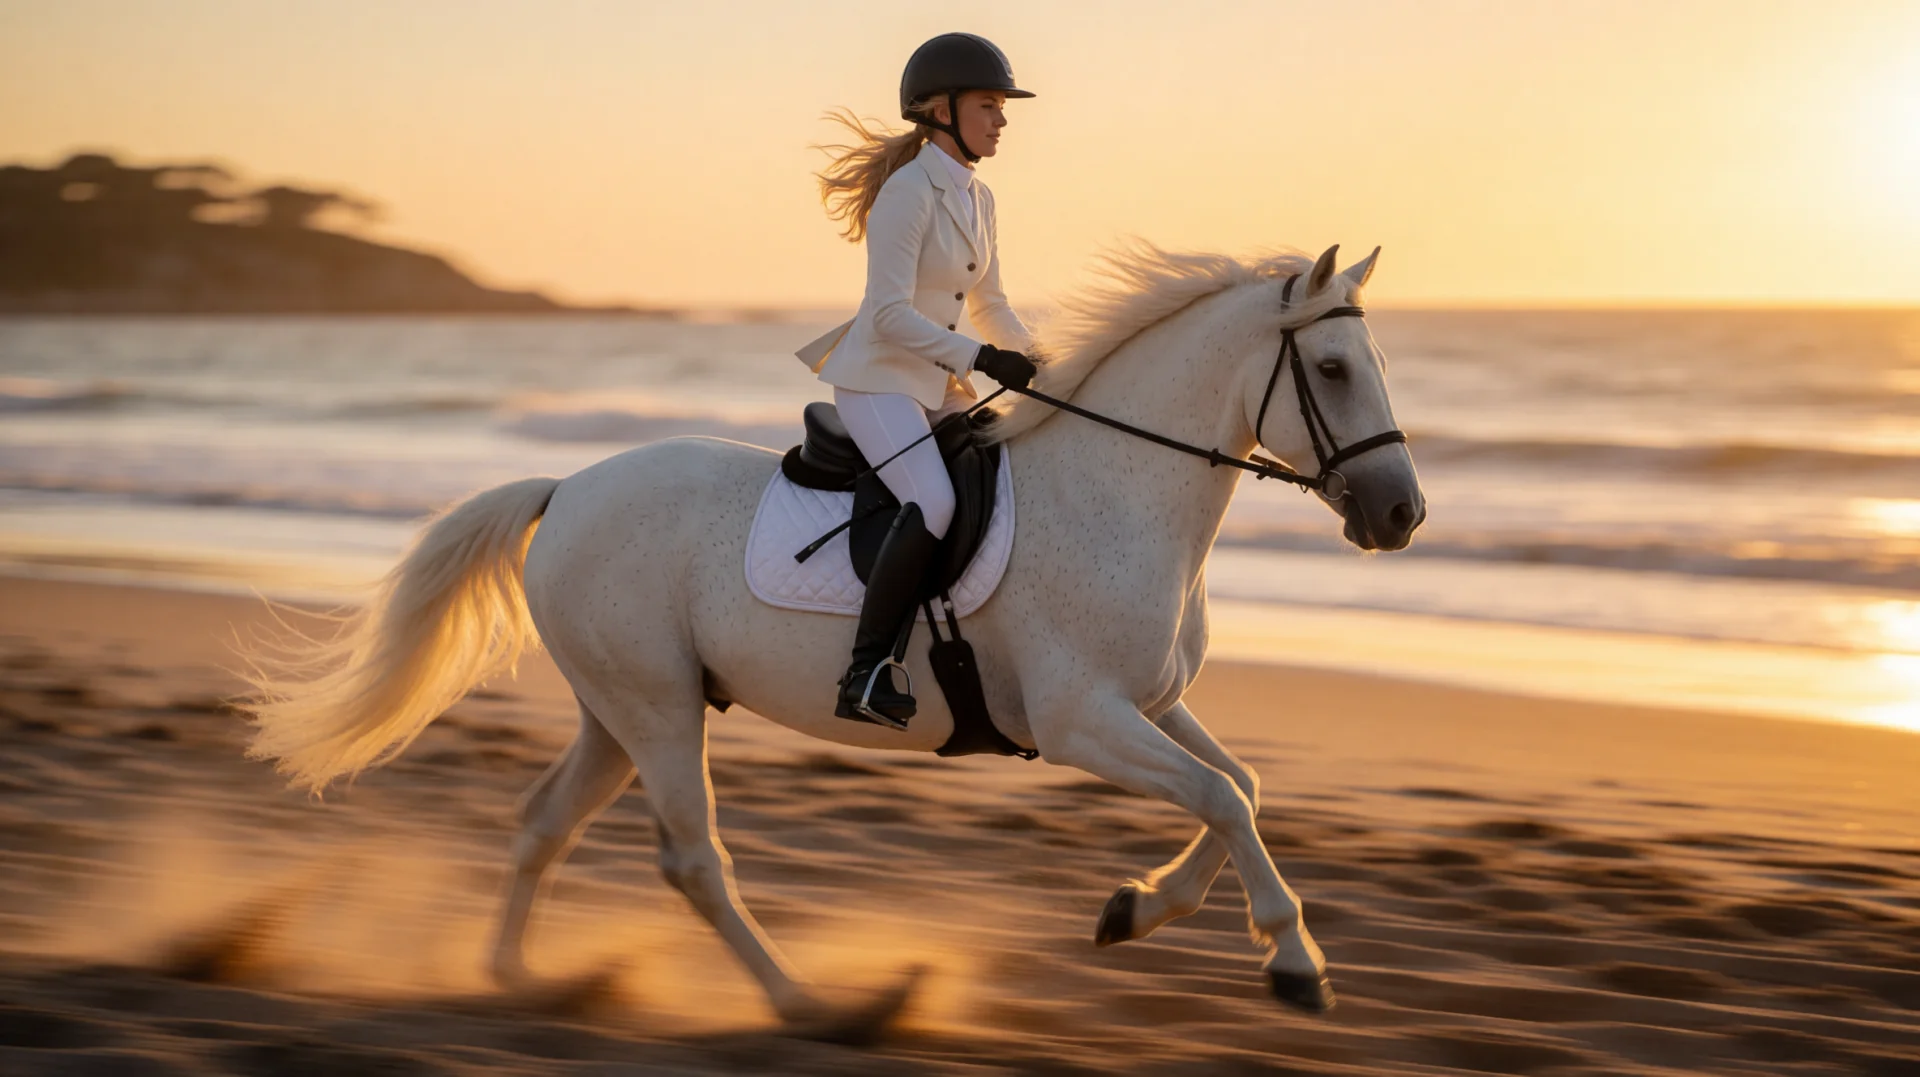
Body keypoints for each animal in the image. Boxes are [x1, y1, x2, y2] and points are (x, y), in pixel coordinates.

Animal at [242, 241, 1426, 1033]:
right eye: (1331, 371)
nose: (1402, 514)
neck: (1119, 491)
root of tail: (566, 488)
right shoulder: (1082, 721)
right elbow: (1223, 797)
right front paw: (1294, 961)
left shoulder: (1151, 702)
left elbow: (1242, 789)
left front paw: (1135, 910)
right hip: (658, 711)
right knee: (694, 859)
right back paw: (810, 1005)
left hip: (619, 710)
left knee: (543, 824)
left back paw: (521, 981)